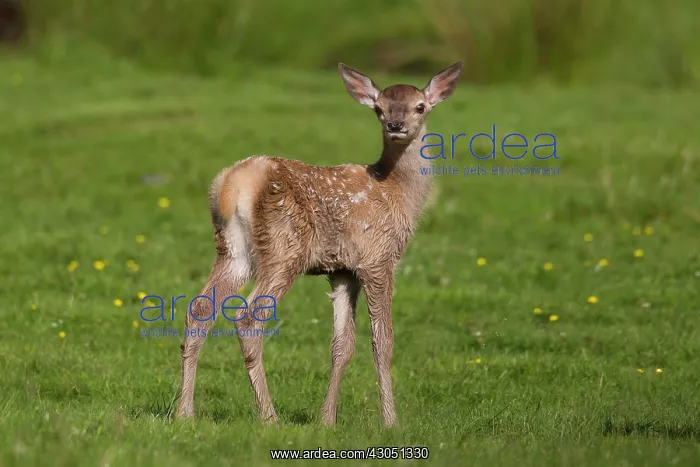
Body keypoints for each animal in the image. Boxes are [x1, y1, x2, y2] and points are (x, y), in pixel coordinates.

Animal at [175, 61, 463, 428]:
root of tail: (233, 185)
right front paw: (391, 421)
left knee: (199, 308)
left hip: (232, 250)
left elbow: (343, 345)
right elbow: (382, 342)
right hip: (284, 248)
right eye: (379, 108)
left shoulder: (342, 270)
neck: (395, 192)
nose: (396, 126)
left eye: (420, 106)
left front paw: (326, 420)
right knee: (249, 315)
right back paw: (269, 417)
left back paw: (185, 412)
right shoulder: (378, 258)